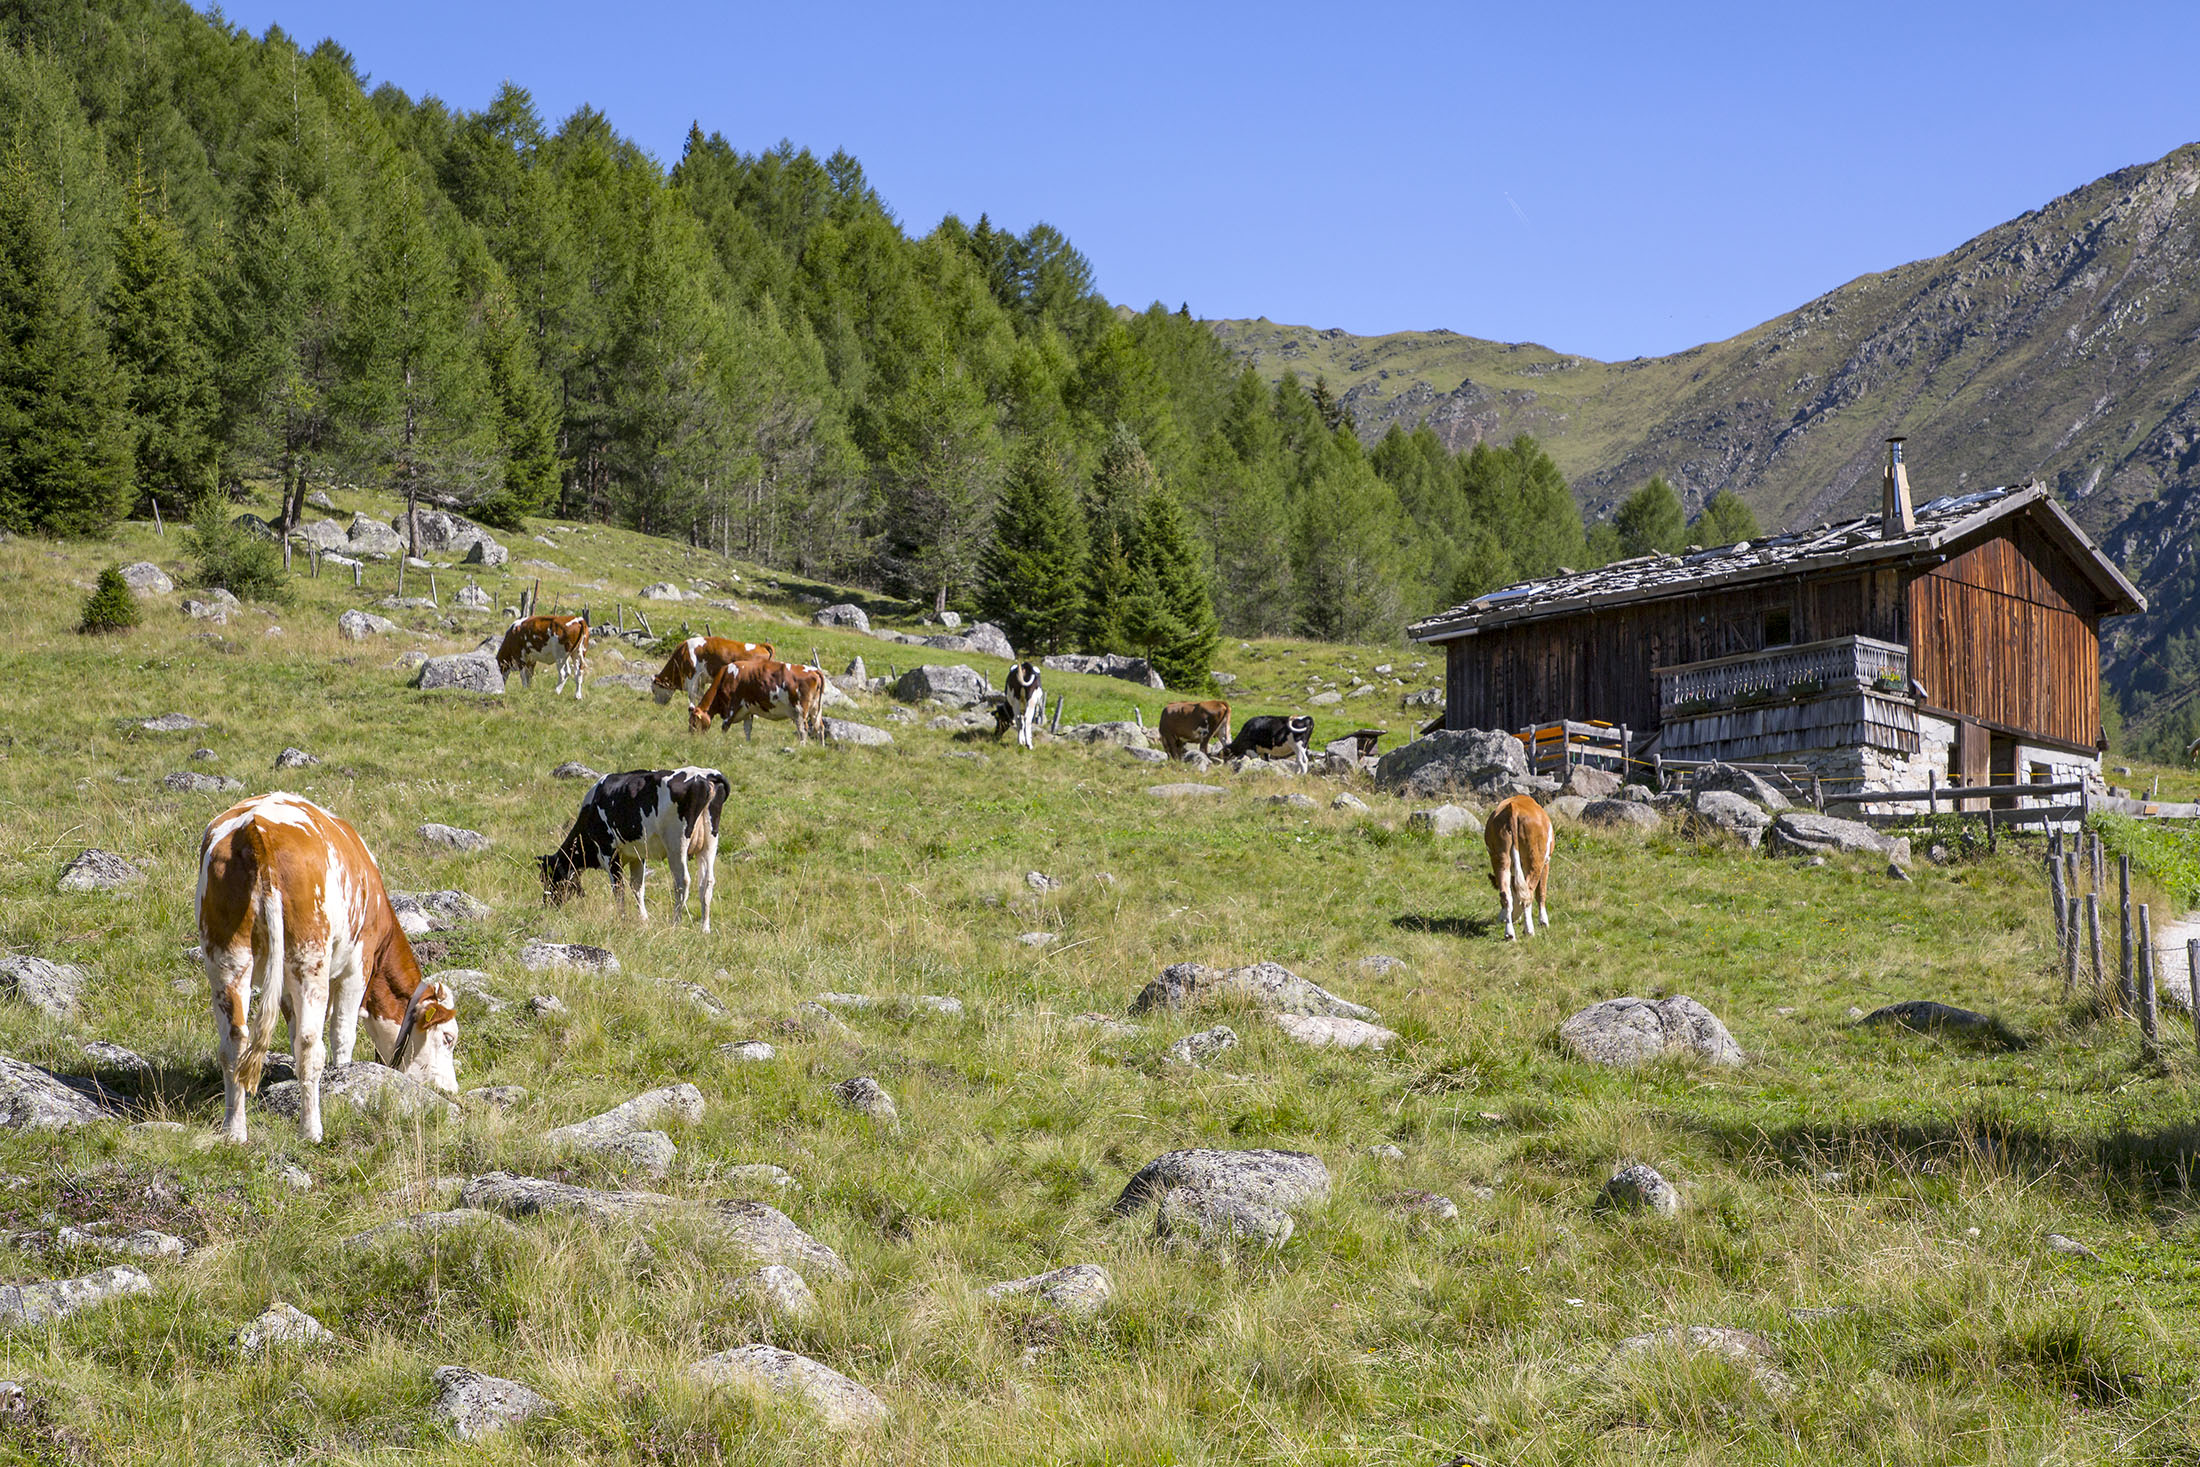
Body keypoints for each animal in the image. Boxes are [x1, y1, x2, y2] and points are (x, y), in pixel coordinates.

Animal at [198, 791, 459, 1143]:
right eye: (448, 1037)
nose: (451, 1089)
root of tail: (256, 829)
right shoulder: (358, 965)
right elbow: (342, 1033)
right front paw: (344, 1078)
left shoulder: (283, 985)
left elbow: (293, 1033)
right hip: (310, 959)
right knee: (310, 1044)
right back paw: (311, 1130)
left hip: (226, 954)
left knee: (234, 1043)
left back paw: (234, 1131)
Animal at [536, 769, 734, 928]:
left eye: (547, 877)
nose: (546, 906)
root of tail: (706, 775)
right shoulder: (637, 854)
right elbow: (637, 886)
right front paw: (644, 919)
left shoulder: (608, 851)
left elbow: (618, 888)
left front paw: (622, 919)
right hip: (709, 842)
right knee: (707, 882)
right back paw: (704, 929)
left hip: (676, 843)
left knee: (682, 882)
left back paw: (674, 924)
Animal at [646, 637, 778, 712]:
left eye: (653, 689)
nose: (657, 704)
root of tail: (761, 645)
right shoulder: (701, 680)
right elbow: (699, 695)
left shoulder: (692, 675)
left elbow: (691, 694)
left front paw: (691, 708)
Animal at [686, 655, 827, 738]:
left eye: (693, 722)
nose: (692, 737)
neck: (725, 676)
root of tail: (814, 670)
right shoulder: (748, 711)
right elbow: (748, 730)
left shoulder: (731, 708)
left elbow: (725, 727)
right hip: (816, 710)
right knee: (820, 728)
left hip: (800, 711)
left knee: (803, 730)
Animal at [1487, 791, 1557, 941]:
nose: (1500, 920)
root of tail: (1513, 807)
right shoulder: (1546, 863)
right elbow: (1541, 892)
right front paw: (1544, 922)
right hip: (1535, 859)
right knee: (1528, 894)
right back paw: (1529, 930)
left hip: (1500, 857)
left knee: (1506, 894)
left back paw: (1509, 934)